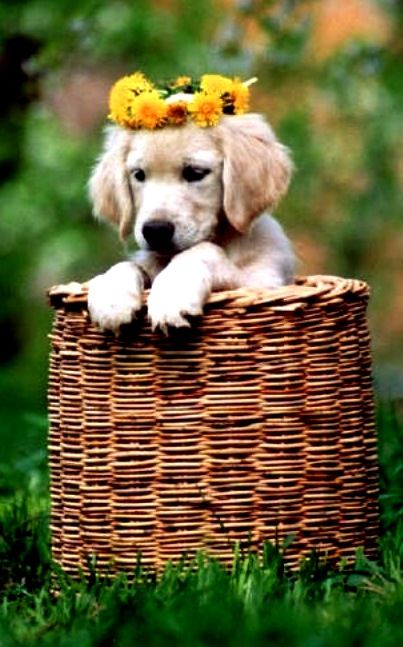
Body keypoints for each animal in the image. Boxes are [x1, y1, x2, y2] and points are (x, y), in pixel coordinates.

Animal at [87, 112, 294, 334]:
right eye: (139, 175)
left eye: (195, 172)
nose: (155, 231)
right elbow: (128, 265)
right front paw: (111, 297)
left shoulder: (262, 283)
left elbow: (202, 251)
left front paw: (172, 295)